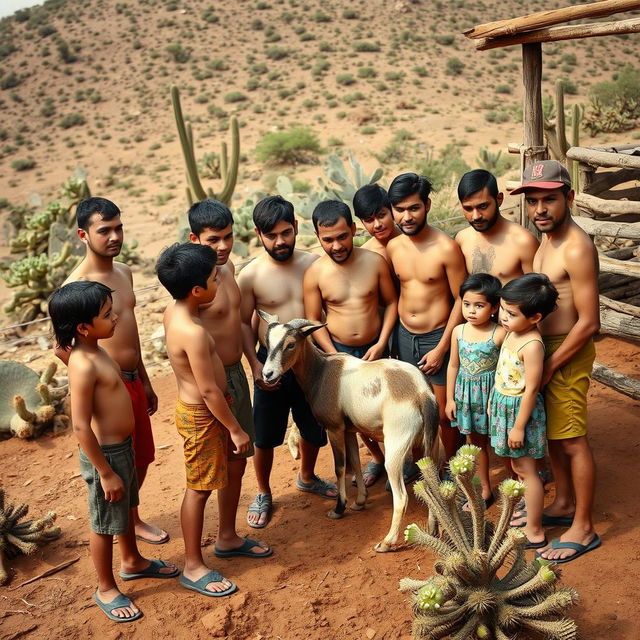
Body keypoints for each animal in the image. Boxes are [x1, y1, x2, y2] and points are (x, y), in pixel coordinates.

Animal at [256, 310, 440, 552]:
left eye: (291, 344)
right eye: (268, 342)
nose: (268, 374)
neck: (324, 371)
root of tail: (421, 392)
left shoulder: (334, 429)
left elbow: (340, 467)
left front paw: (338, 509)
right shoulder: (350, 431)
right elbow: (356, 463)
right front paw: (360, 502)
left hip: (395, 450)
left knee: (401, 497)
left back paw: (386, 543)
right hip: (425, 447)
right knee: (431, 485)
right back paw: (432, 530)